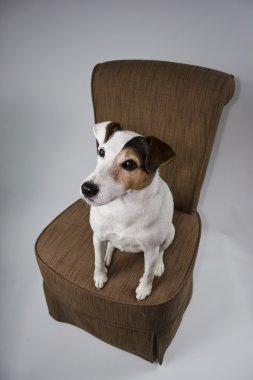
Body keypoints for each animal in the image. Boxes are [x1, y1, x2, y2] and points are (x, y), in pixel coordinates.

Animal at [81, 121, 176, 300]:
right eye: (101, 152)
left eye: (129, 164)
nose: (87, 189)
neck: (123, 207)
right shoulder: (97, 237)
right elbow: (97, 260)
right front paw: (100, 276)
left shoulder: (150, 250)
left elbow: (148, 273)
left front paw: (144, 289)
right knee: (110, 245)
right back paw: (107, 255)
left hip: (170, 233)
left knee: (162, 250)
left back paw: (159, 266)